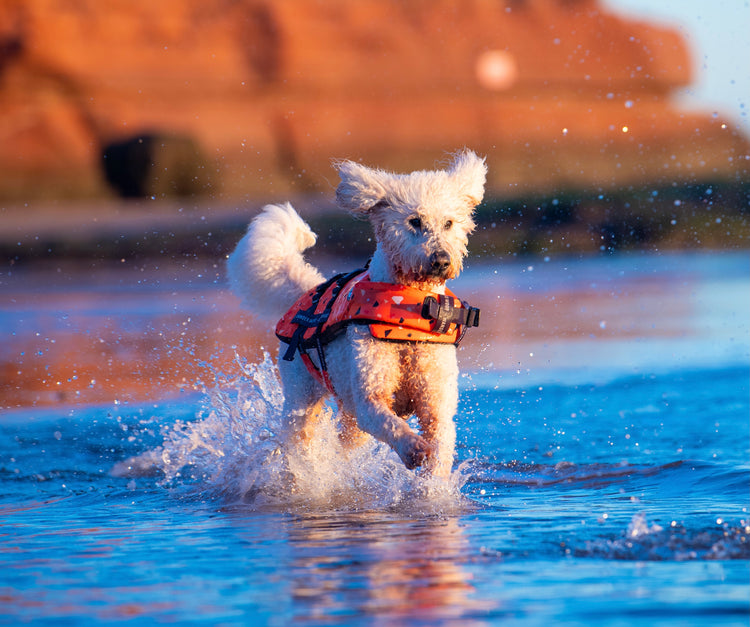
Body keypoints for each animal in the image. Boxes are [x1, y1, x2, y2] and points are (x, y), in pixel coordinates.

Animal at [229, 151, 488, 476]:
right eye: (414, 221)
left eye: (449, 223)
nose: (441, 260)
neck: (410, 311)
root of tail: (308, 291)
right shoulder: (370, 396)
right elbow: (390, 423)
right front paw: (413, 449)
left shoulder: (436, 402)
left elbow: (439, 447)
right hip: (302, 394)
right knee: (301, 435)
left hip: (346, 412)